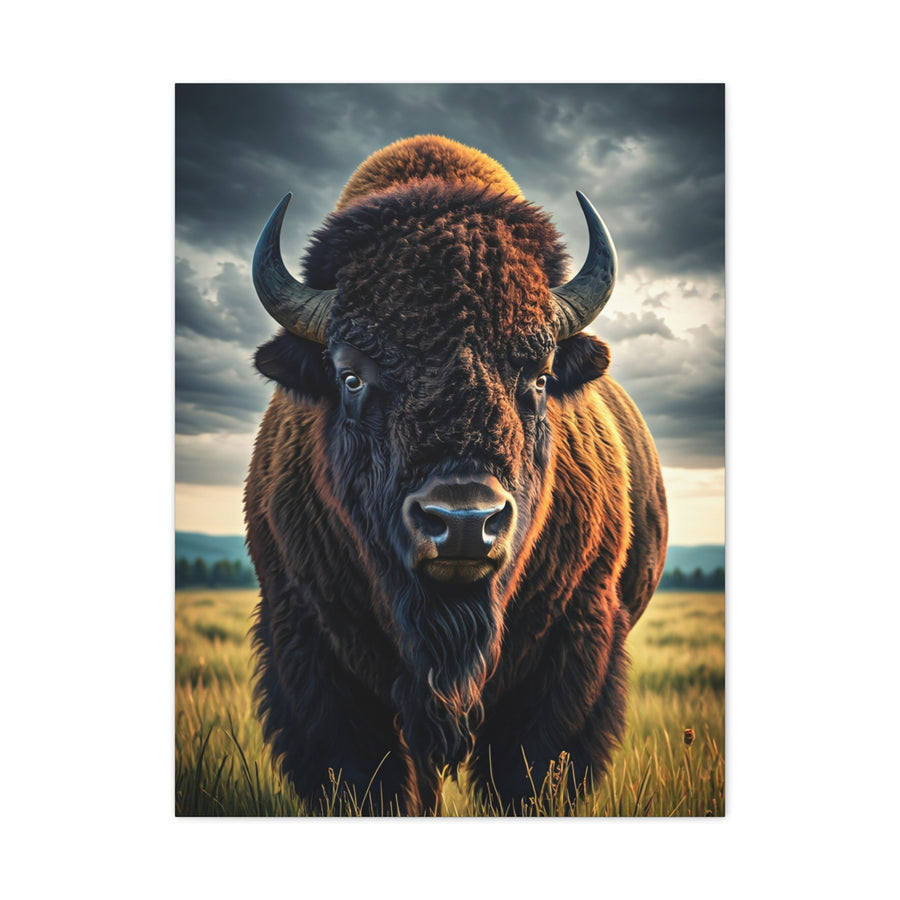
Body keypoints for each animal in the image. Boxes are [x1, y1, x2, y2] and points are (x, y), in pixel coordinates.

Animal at [244, 135, 667, 815]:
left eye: (540, 378)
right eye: (350, 376)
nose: (465, 522)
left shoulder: (575, 643)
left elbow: (528, 774)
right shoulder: (308, 643)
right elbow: (370, 778)